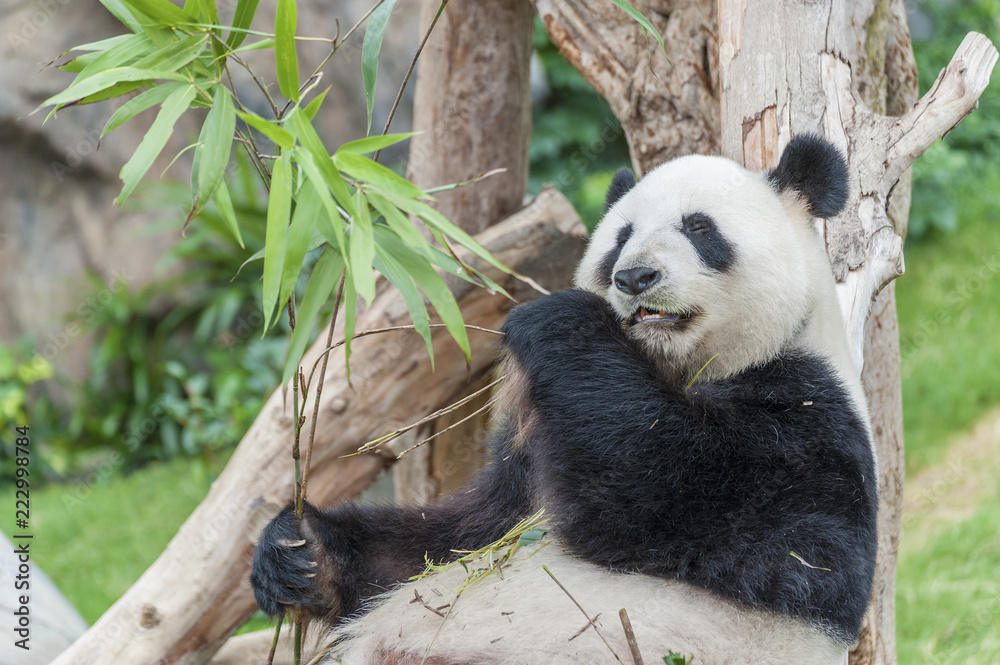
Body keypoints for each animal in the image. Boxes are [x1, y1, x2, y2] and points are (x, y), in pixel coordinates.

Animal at [250, 135, 878, 665]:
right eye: (620, 237)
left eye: (700, 228)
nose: (634, 277)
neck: (672, 366)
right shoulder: (531, 452)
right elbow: (455, 538)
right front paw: (301, 553)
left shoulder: (810, 417)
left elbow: (687, 506)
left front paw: (560, 322)